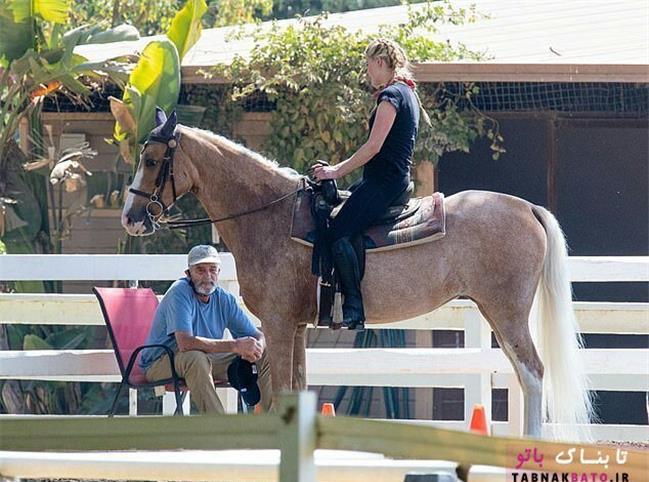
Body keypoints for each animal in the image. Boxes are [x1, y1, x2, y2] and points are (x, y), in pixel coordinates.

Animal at [120, 110, 592, 440]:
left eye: (153, 159)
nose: (130, 218)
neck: (271, 216)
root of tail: (525, 207)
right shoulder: (295, 327)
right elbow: (296, 387)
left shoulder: (276, 323)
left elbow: (281, 391)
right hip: (498, 313)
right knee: (525, 375)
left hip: (507, 313)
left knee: (533, 373)